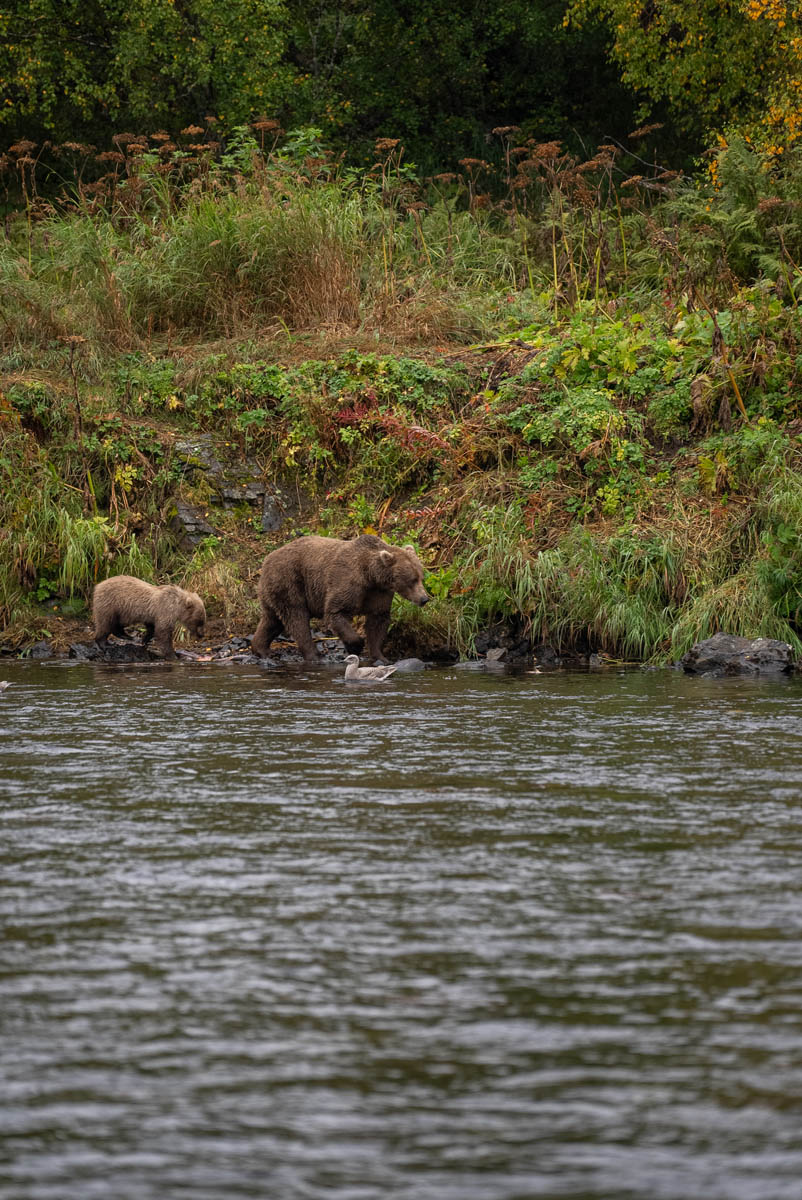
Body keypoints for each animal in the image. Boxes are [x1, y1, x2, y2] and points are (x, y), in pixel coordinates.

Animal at [251, 534, 429, 664]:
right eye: (412, 580)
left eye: (421, 576)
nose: (424, 599)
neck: (370, 575)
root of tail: (266, 560)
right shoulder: (347, 582)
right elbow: (336, 611)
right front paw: (355, 646)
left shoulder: (379, 593)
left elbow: (378, 621)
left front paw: (380, 656)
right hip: (289, 581)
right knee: (297, 618)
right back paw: (314, 655)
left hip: (272, 591)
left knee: (272, 620)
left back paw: (261, 649)